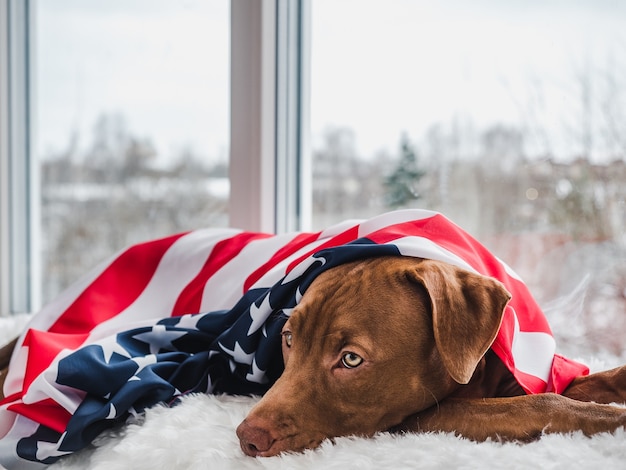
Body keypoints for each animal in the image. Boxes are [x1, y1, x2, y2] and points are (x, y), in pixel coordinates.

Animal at [234, 258, 624, 456]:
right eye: (288, 338)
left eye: (351, 359)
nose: (247, 437)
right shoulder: (425, 415)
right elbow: (540, 403)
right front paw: (613, 418)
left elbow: (589, 381)